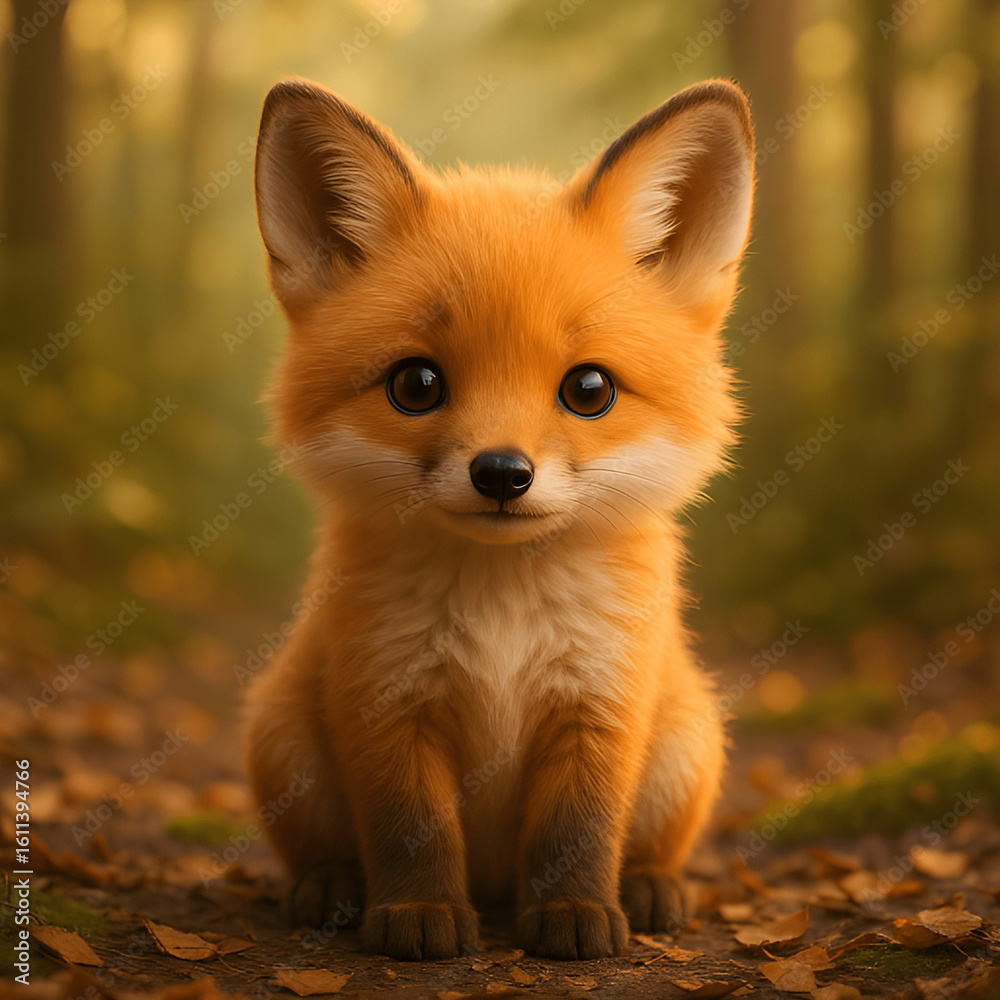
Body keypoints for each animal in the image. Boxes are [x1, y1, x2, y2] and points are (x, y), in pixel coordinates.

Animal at [245, 75, 755, 961]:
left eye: (589, 389)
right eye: (416, 384)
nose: (502, 475)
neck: (502, 616)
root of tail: (491, 887)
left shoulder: (600, 699)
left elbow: (577, 832)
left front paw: (574, 914)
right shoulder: (385, 698)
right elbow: (410, 829)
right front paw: (418, 913)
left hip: (688, 744)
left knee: (647, 847)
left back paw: (648, 886)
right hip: (282, 740)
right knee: (327, 848)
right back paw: (332, 885)